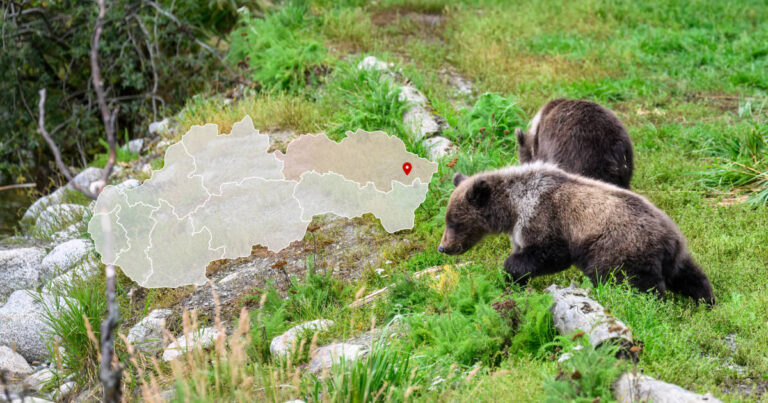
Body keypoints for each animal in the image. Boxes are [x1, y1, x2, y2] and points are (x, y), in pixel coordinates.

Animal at [438, 163, 712, 304]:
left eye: (454, 221)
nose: (443, 247)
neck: (512, 209)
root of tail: (670, 237)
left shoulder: (544, 219)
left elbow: (548, 255)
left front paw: (510, 271)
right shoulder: (520, 231)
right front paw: (515, 282)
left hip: (620, 247)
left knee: (631, 282)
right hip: (674, 254)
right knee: (689, 274)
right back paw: (706, 299)